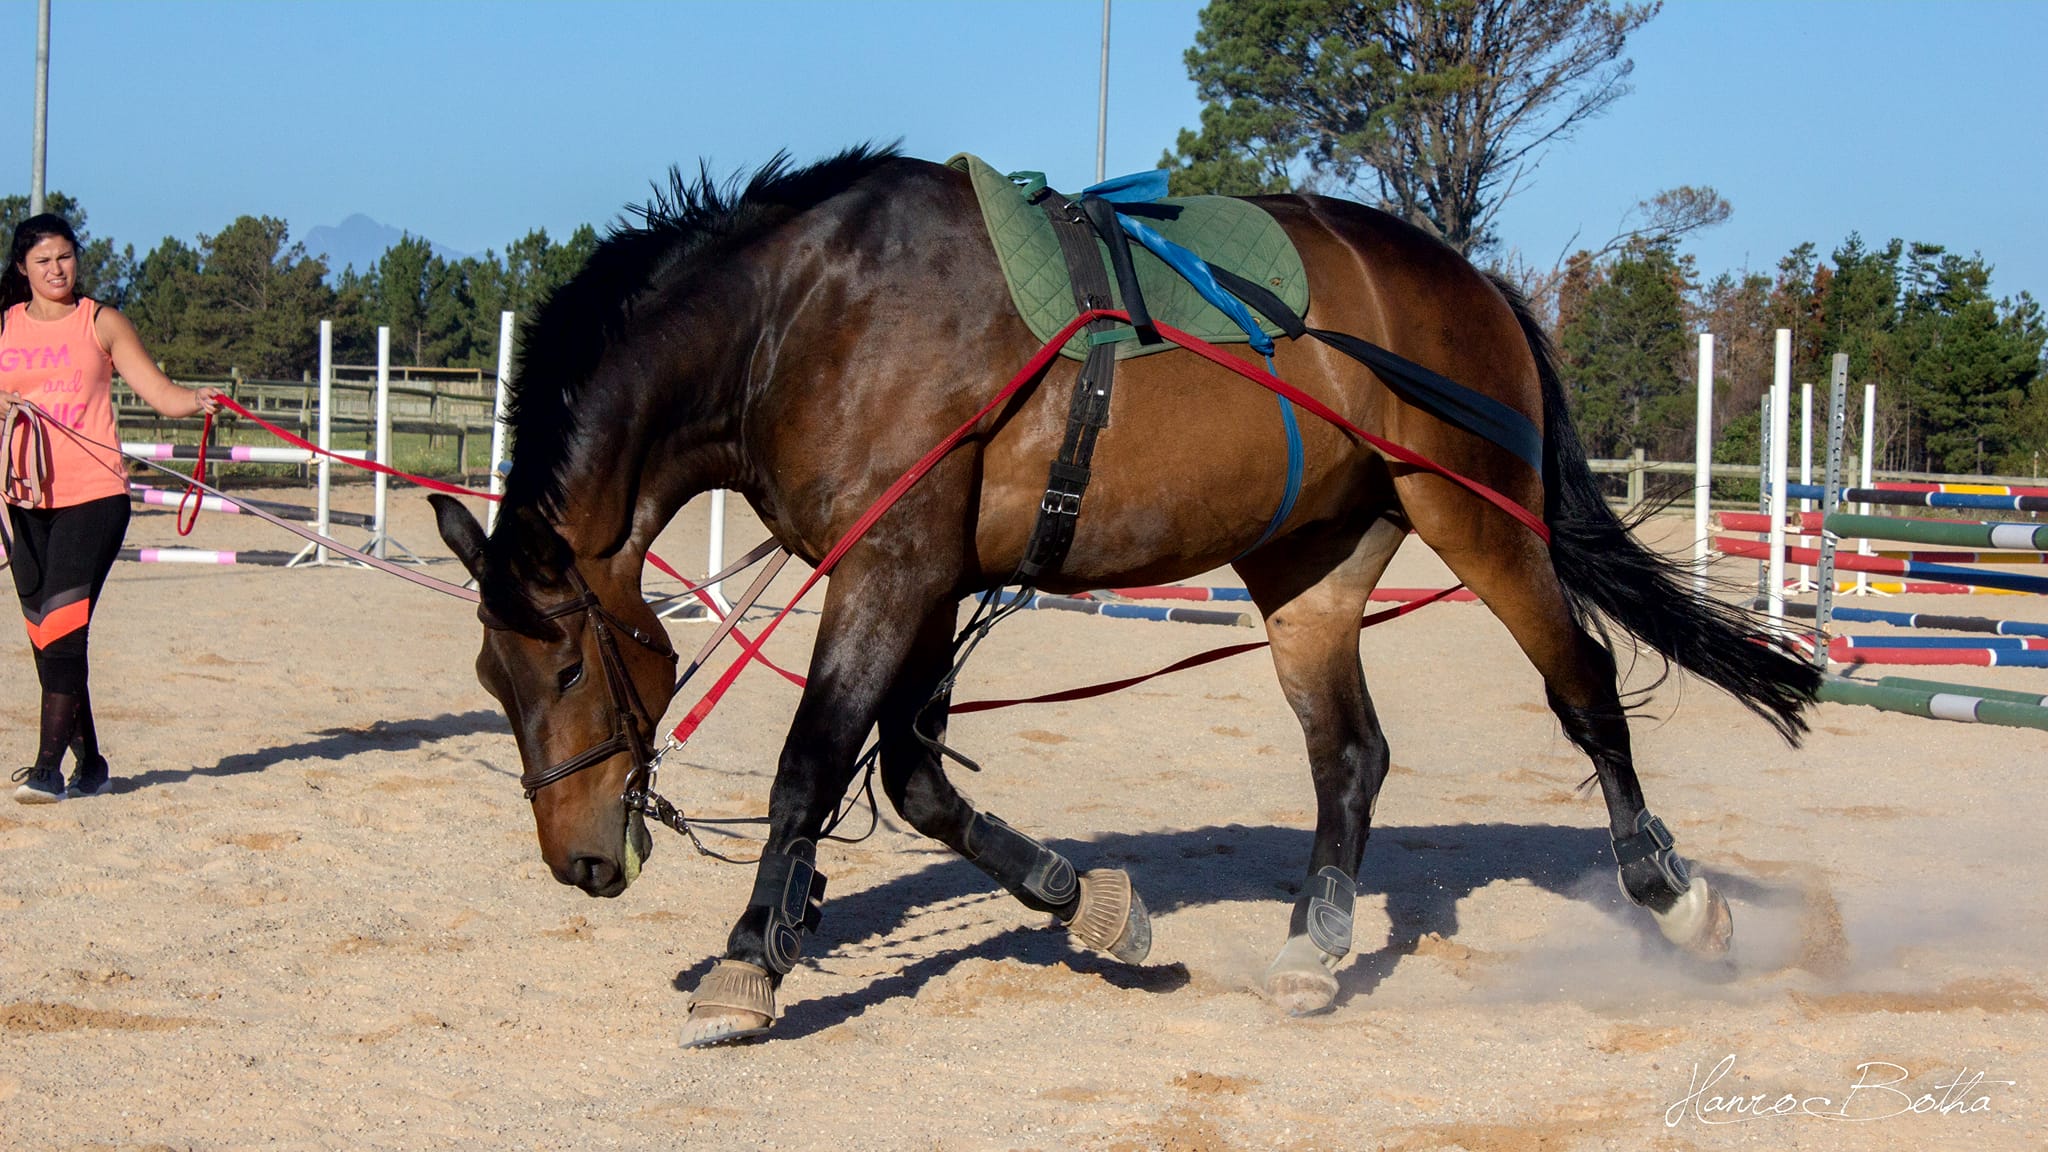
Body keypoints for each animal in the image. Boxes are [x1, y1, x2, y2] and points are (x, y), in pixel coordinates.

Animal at [430, 144, 1818, 1048]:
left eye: (566, 668)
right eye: (491, 681)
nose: (581, 864)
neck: (803, 319)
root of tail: (1468, 281)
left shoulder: (894, 570)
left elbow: (812, 766)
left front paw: (746, 962)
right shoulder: (932, 577)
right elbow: (917, 783)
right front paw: (1080, 900)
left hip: (1474, 515)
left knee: (1584, 689)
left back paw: (1673, 898)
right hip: (1309, 565)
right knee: (1348, 756)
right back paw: (1314, 946)